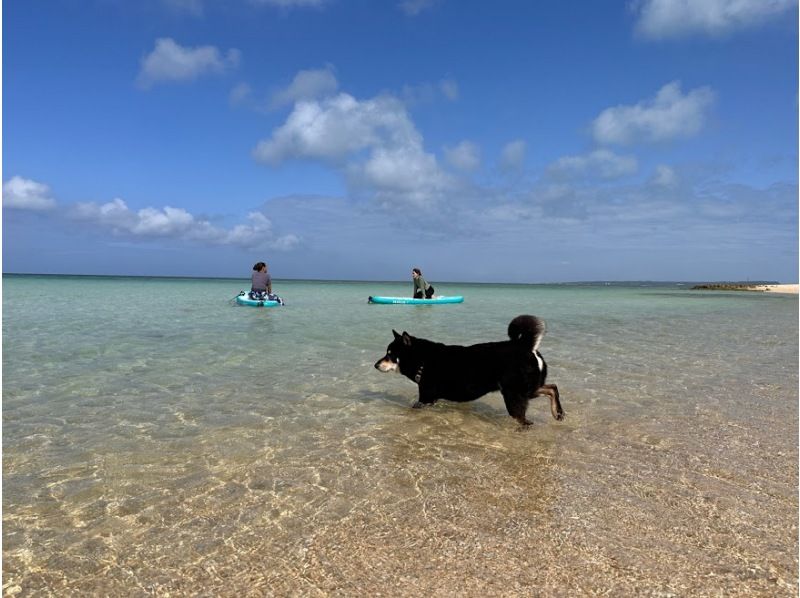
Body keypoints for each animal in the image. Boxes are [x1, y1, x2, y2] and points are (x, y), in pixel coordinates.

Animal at [376, 314, 564, 426]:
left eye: (390, 354)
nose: (375, 365)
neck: (423, 359)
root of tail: (525, 345)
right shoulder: (430, 399)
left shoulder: (426, 398)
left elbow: (413, 407)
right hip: (527, 389)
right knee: (552, 387)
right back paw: (558, 413)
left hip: (514, 394)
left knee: (525, 418)